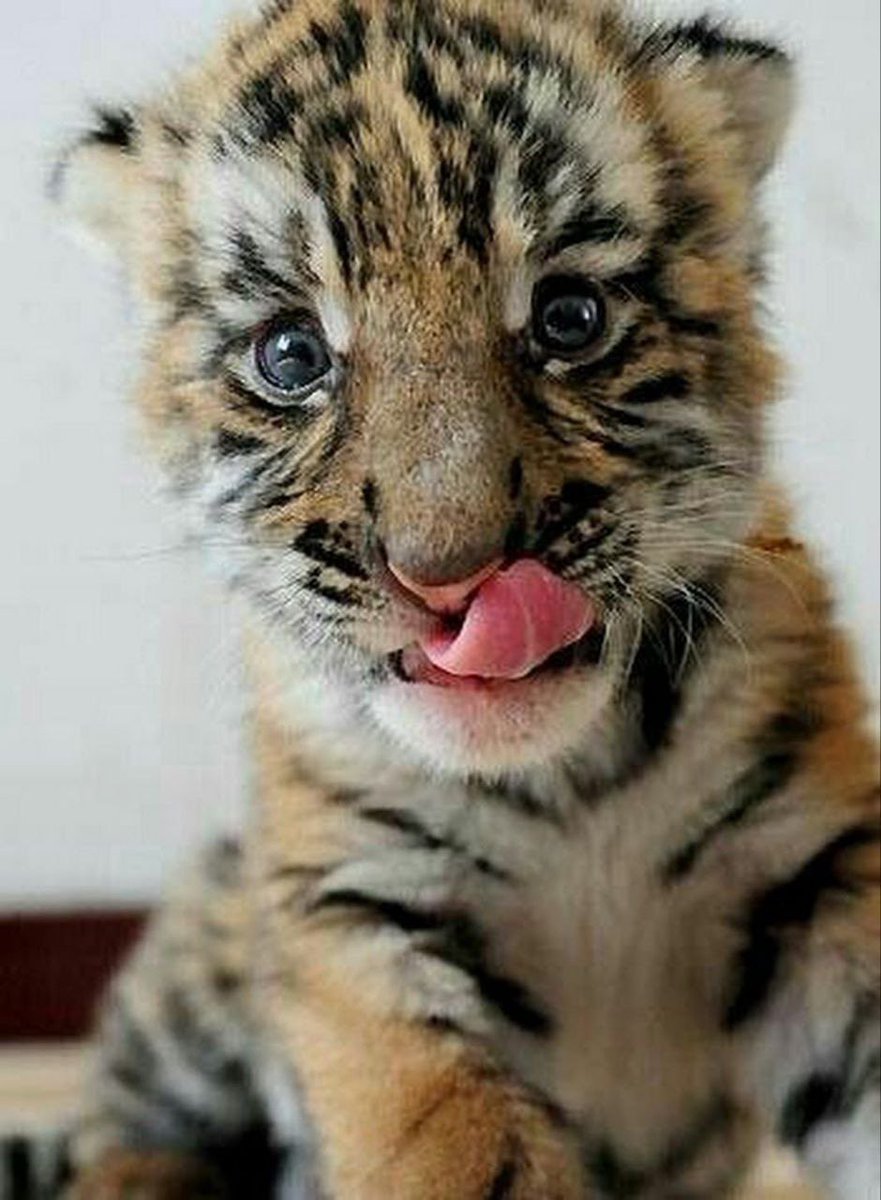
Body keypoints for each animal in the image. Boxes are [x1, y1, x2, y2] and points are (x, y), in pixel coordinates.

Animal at [43, 0, 880, 1197]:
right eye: (290, 354)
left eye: (569, 317)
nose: (450, 574)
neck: (568, 787)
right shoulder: (356, 919)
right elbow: (452, 1147)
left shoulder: (816, 874)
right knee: (119, 1128)